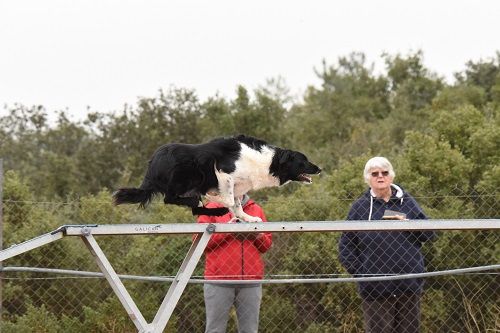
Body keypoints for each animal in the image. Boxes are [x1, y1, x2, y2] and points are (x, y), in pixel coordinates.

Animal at [112, 134, 322, 222]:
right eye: (303, 161)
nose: (320, 168)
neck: (268, 161)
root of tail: (152, 163)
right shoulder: (223, 173)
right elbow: (228, 199)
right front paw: (214, 198)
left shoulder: (238, 186)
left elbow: (237, 205)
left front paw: (247, 218)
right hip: (187, 174)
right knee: (170, 198)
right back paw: (206, 203)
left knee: (194, 209)